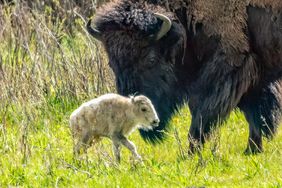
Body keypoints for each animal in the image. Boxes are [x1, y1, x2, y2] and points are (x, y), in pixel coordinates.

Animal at [86, 0, 282, 153]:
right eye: (112, 63)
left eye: (150, 59)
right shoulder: (253, 74)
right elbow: (256, 113)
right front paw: (252, 150)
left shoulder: (227, 68)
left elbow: (201, 111)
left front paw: (190, 152)